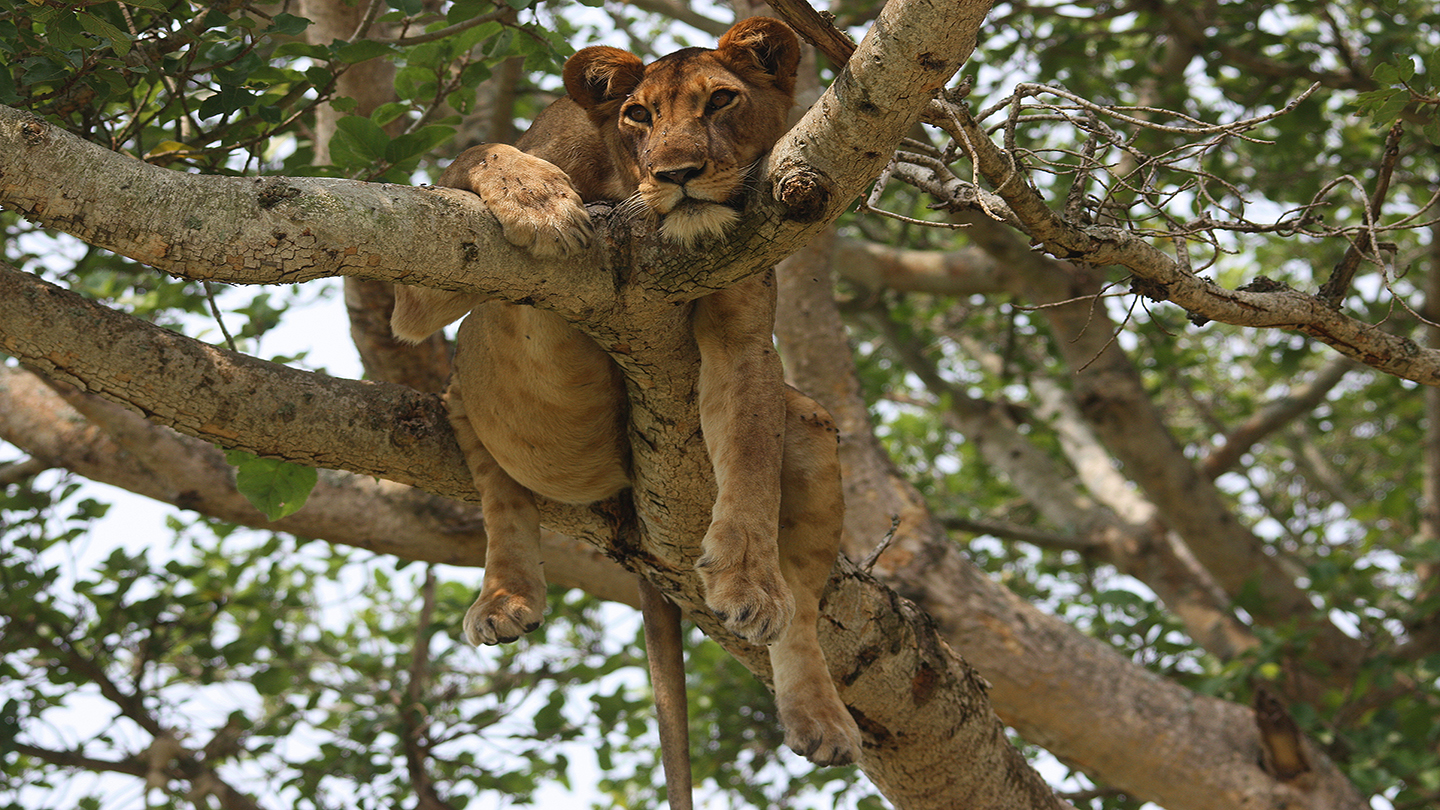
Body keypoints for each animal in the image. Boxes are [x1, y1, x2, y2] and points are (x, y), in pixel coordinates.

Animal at [391, 17, 863, 769]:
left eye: (721, 102)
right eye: (639, 114)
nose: (677, 176)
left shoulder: (742, 331)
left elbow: (753, 461)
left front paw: (748, 581)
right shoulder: (421, 297)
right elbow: (477, 151)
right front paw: (538, 201)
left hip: (814, 424)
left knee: (805, 611)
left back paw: (819, 714)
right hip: (460, 392)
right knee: (502, 499)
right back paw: (505, 598)